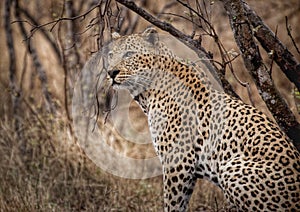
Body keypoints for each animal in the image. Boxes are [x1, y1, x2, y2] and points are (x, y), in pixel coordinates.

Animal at [105, 29, 300, 211]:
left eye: (129, 54)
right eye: (110, 55)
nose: (111, 72)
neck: (147, 93)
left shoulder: (177, 161)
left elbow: (172, 204)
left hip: (231, 170)